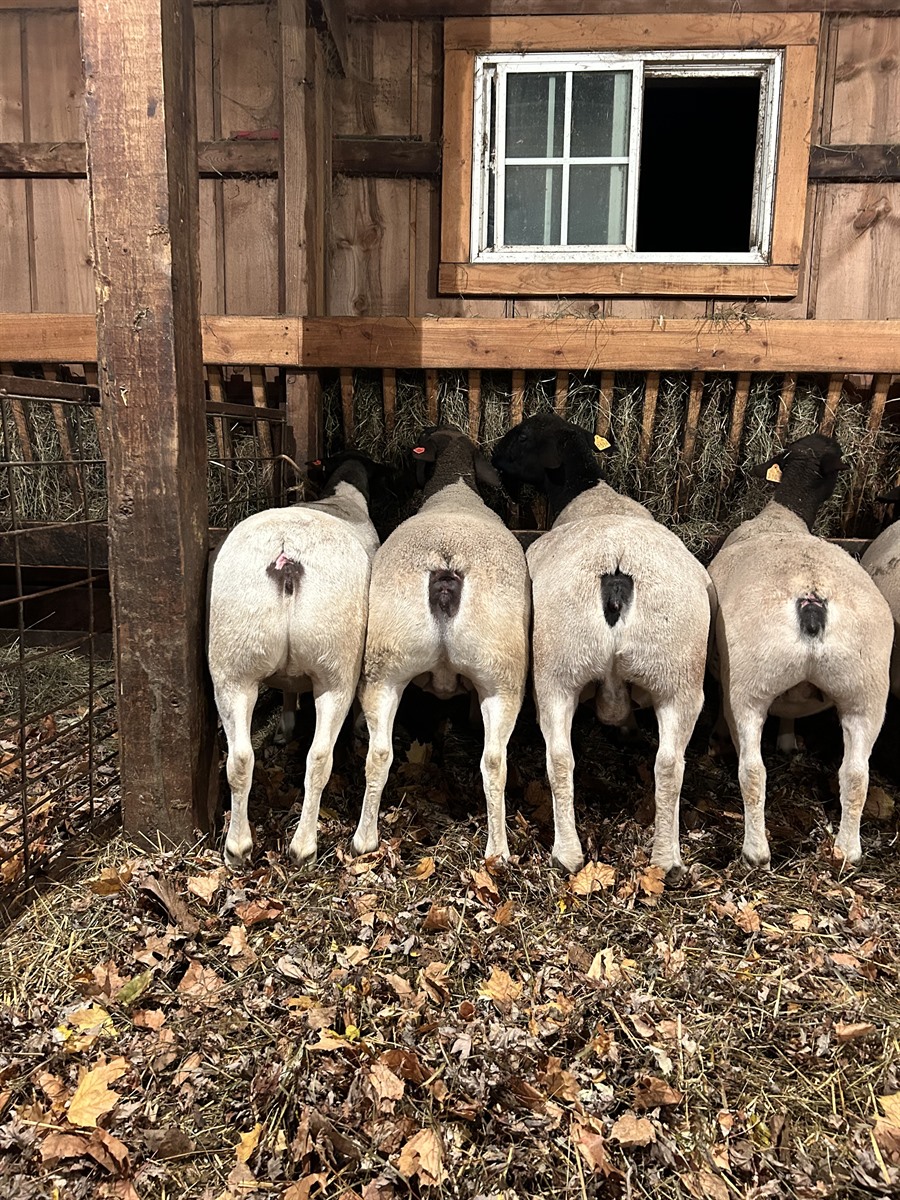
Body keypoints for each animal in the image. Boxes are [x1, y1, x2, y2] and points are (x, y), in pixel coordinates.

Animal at [208, 451, 382, 869]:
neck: (342, 498)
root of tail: (287, 557)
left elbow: (288, 687)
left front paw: (285, 726)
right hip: (336, 667)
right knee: (319, 758)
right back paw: (303, 846)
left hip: (231, 664)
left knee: (240, 759)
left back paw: (238, 847)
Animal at [351, 426, 530, 862]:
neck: (454, 487)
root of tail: (446, 568)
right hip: (501, 675)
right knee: (494, 761)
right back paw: (498, 851)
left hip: (386, 665)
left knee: (380, 753)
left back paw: (365, 839)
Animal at [491, 412, 714, 880]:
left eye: (523, 435)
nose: (494, 456)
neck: (591, 493)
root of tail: (617, 571)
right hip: (677, 674)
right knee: (669, 764)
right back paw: (665, 859)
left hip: (558, 669)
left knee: (560, 759)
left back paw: (567, 853)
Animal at [708, 434, 892, 868]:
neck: (783, 515)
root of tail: (812, 598)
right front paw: (789, 741)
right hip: (865, 692)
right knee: (854, 775)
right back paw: (844, 851)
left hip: (755, 686)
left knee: (755, 771)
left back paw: (760, 851)